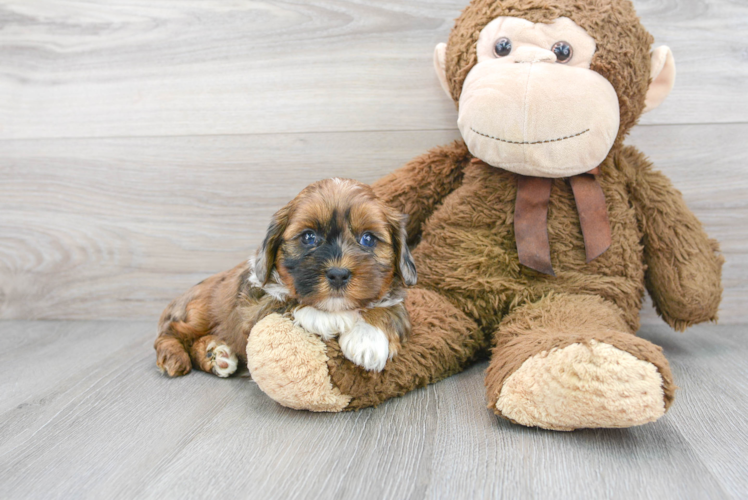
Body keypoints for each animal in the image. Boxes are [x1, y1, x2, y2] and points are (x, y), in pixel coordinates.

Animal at [155, 178, 418, 376]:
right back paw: (176, 356)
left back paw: (215, 354)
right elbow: (284, 300)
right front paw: (329, 317)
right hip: (196, 313)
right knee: (169, 332)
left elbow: (390, 307)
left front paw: (368, 339)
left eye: (368, 239)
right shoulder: (251, 310)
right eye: (309, 237)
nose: (338, 274)